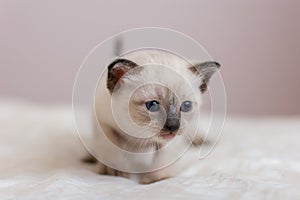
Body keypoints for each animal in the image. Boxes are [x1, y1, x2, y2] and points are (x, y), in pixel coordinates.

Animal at [89, 48, 220, 183]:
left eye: (186, 106)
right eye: (152, 105)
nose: (174, 126)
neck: (138, 133)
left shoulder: (172, 139)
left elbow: (164, 159)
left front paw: (155, 180)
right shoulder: (103, 124)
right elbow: (111, 149)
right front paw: (113, 172)